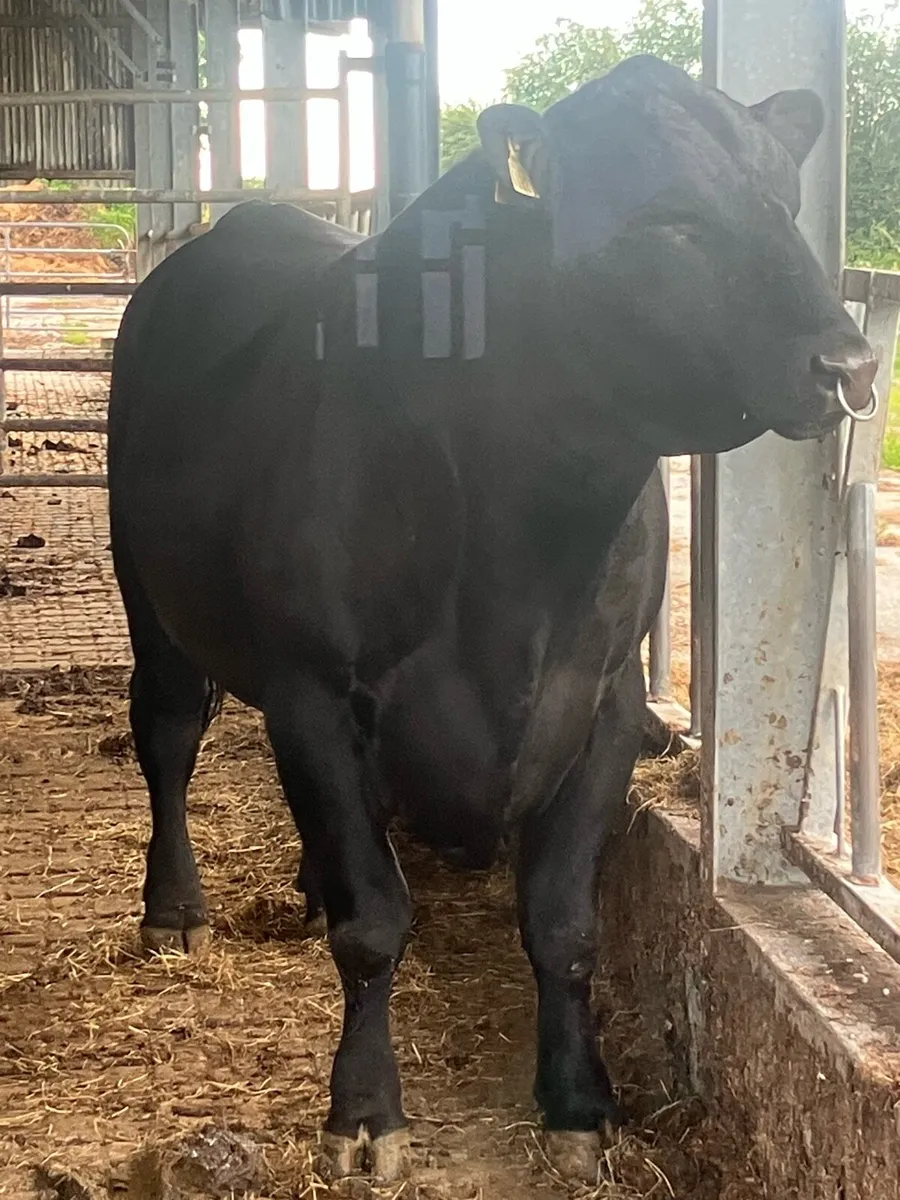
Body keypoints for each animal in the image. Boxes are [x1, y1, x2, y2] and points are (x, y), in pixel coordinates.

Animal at [107, 55, 877, 1184]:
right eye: (668, 218)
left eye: (784, 200)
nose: (850, 367)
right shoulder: (311, 691)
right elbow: (374, 923)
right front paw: (365, 1113)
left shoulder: (605, 699)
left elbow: (563, 923)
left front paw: (578, 1105)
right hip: (147, 590)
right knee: (167, 732)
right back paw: (176, 912)